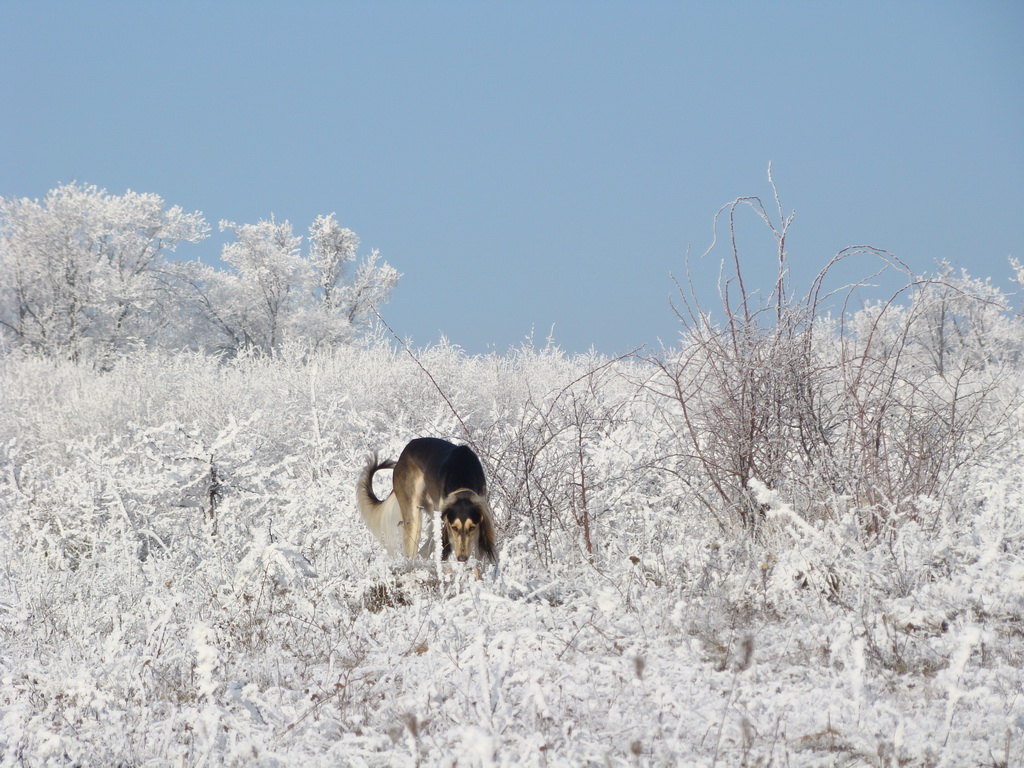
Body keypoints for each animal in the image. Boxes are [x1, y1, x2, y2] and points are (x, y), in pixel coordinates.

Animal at [358, 438, 497, 565]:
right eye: (454, 527)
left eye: (472, 527)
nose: (462, 558)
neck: (462, 471)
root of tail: (405, 451)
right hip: (414, 518)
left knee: (423, 550)